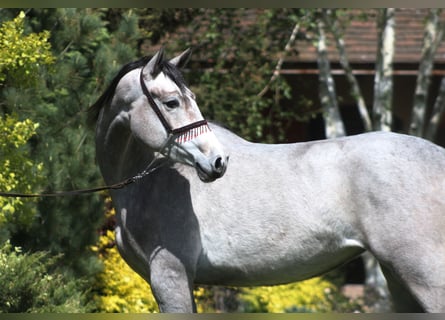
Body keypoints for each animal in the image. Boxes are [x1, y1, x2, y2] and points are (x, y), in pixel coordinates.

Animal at [90, 48, 444, 312]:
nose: (217, 162)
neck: (151, 183)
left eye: (186, 98)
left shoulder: (170, 275)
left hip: (423, 275)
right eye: (172, 102)